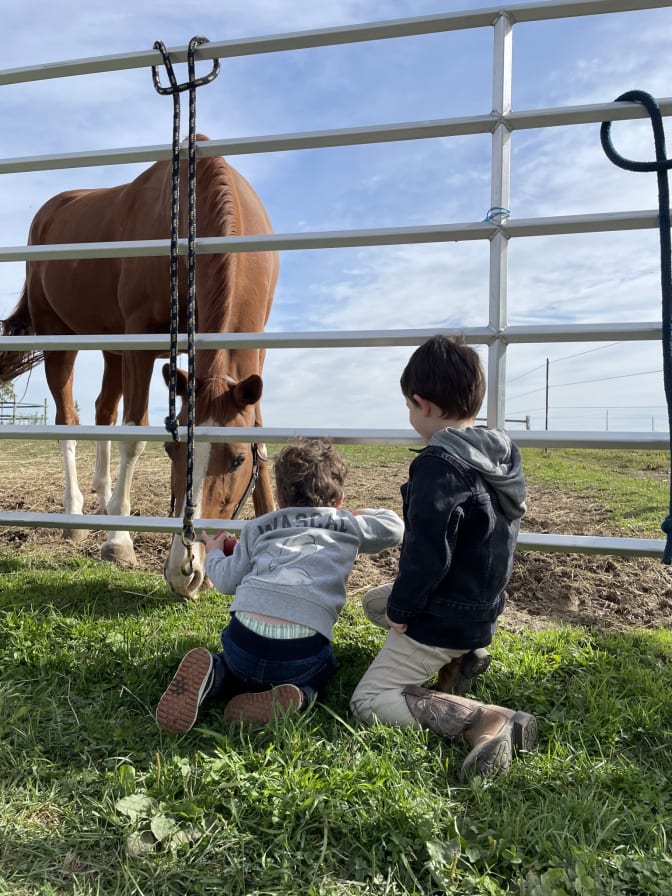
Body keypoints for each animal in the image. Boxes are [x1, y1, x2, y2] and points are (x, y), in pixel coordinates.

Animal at [0, 142, 278, 596]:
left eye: (237, 460)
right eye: (171, 450)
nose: (188, 570)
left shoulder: (254, 350)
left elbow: (261, 436)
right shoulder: (141, 342)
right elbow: (134, 435)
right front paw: (119, 543)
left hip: (112, 347)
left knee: (102, 412)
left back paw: (104, 498)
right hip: (63, 339)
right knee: (68, 420)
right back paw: (76, 515)